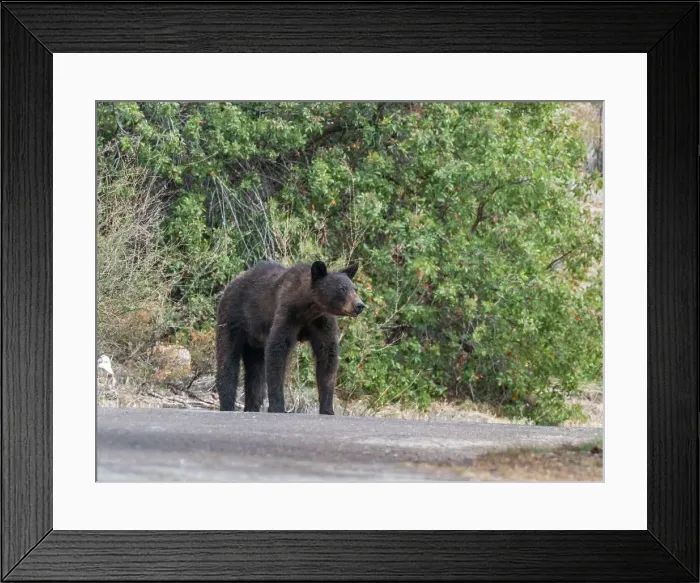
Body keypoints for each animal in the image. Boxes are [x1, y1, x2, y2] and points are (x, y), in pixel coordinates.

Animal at [215, 260, 365, 415]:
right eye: (342, 288)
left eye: (354, 288)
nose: (359, 305)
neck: (309, 308)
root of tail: (231, 284)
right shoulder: (287, 313)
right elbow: (277, 350)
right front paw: (277, 406)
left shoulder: (322, 322)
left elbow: (328, 356)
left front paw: (328, 409)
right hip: (233, 318)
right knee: (227, 358)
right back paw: (227, 404)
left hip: (255, 341)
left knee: (256, 373)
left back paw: (252, 408)